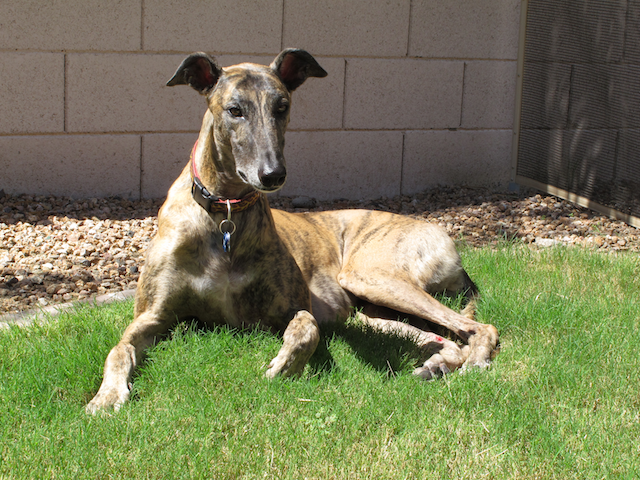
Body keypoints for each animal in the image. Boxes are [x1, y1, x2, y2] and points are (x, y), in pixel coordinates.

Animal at [85, 50, 498, 414]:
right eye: (234, 110)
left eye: (281, 107)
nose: (273, 174)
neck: (225, 215)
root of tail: (444, 237)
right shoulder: (153, 317)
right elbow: (118, 349)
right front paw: (106, 397)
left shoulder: (291, 308)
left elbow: (307, 326)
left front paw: (285, 365)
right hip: (371, 309)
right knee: (444, 336)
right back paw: (437, 363)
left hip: (369, 276)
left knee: (480, 327)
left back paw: (473, 362)